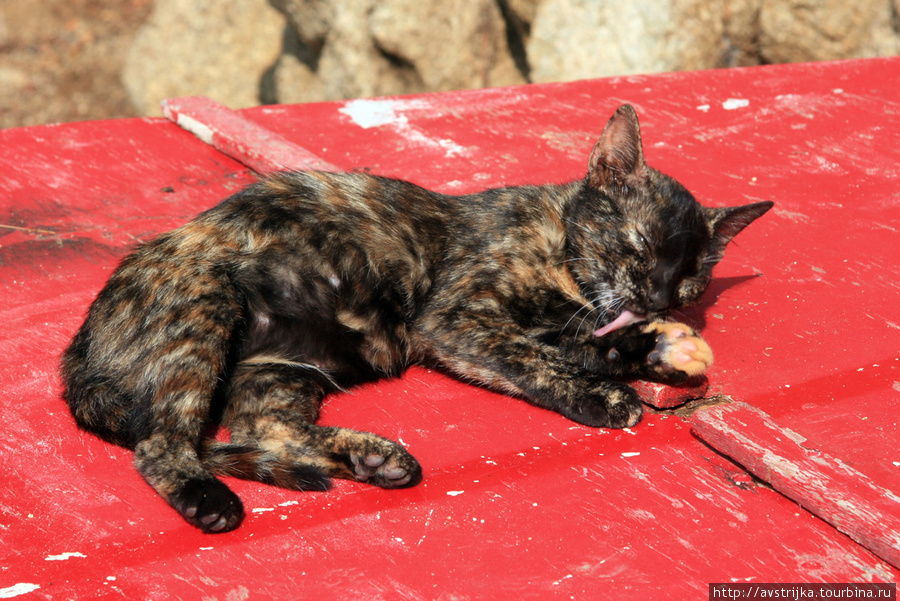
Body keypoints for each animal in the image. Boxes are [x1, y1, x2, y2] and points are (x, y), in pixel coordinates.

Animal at [59, 105, 772, 532]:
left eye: (687, 284)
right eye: (636, 247)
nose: (654, 300)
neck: (560, 253)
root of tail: (79, 350)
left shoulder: (568, 323)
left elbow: (587, 343)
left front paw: (659, 350)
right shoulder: (453, 319)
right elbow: (533, 358)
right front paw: (602, 396)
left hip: (280, 370)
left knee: (267, 431)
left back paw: (374, 459)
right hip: (205, 312)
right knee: (161, 444)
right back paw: (209, 500)